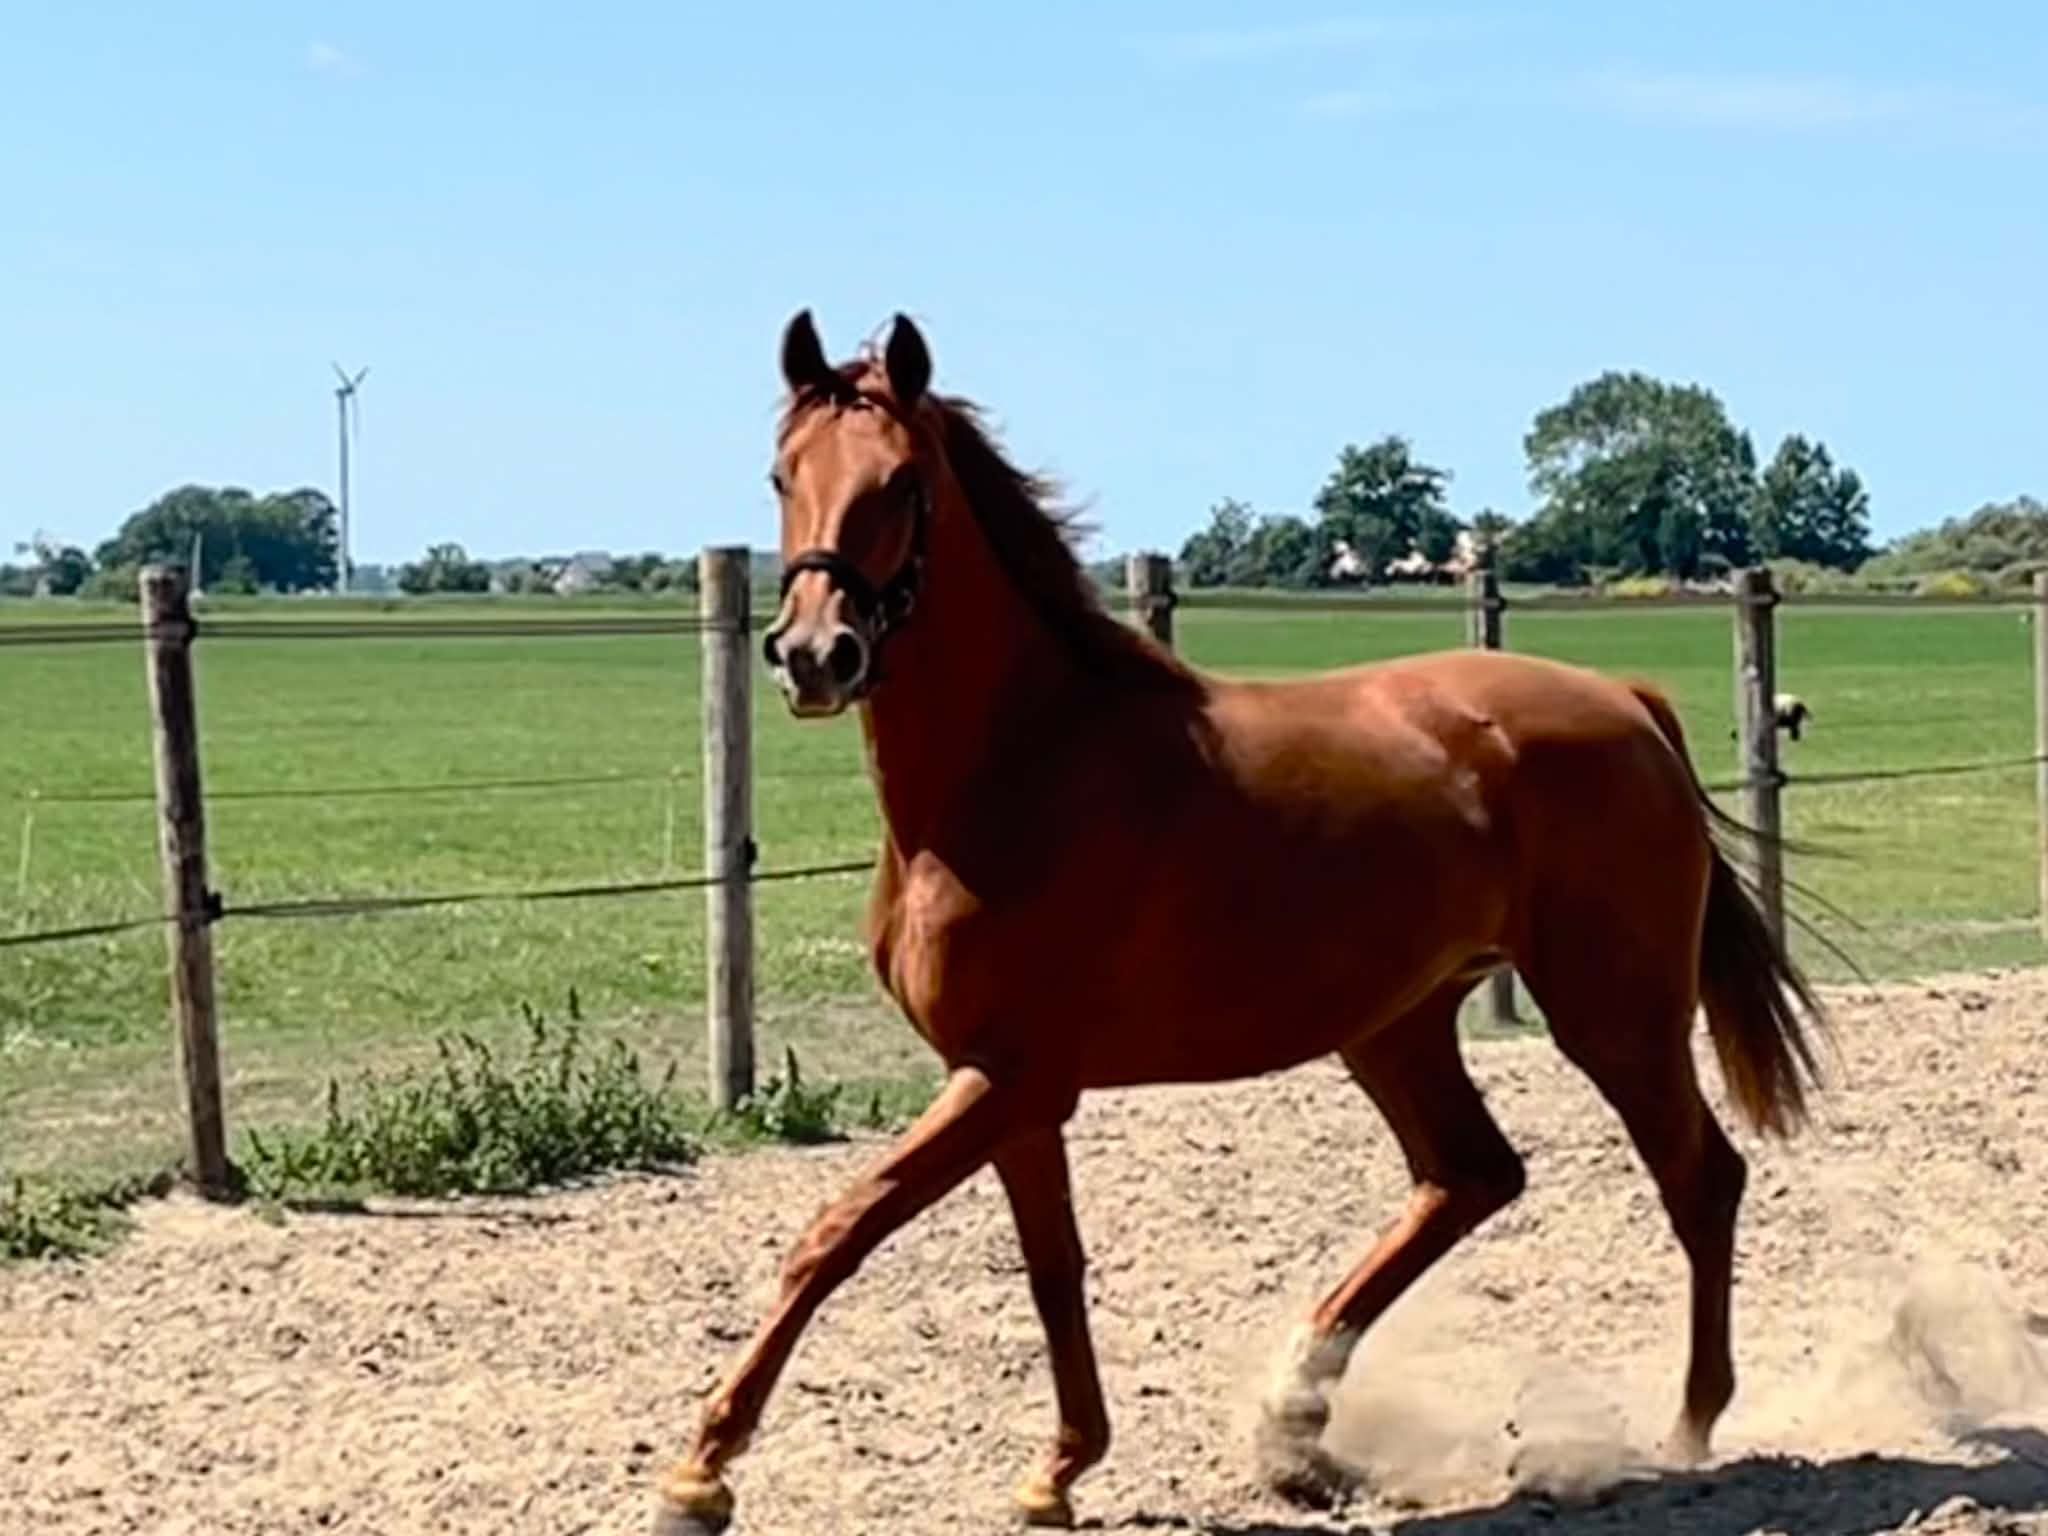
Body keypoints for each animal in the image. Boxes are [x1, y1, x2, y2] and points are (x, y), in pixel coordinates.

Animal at [651, 311, 1827, 1533]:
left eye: (899, 483)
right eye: (782, 475)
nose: (812, 655)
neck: (1022, 770)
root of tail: (1628, 705)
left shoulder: (1009, 1078)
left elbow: (837, 1232)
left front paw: (701, 1473)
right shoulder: (1011, 1089)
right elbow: (1051, 1271)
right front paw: (1058, 1469)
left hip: (1613, 1014)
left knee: (1698, 1179)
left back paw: (1687, 1426)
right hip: (1395, 1024)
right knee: (1472, 1177)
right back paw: (1294, 1420)